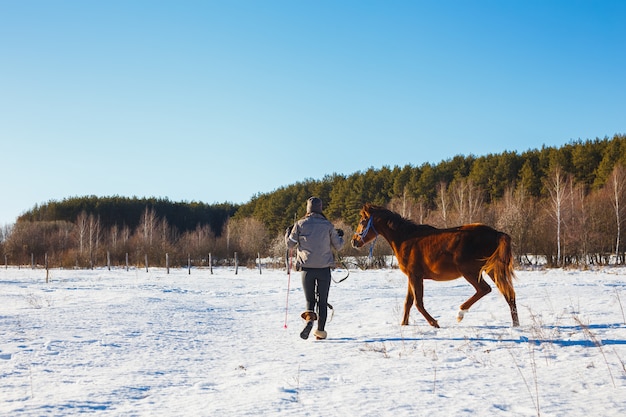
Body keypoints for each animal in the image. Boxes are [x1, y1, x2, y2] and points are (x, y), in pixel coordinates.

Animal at [352, 203, 516, 326]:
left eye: (362, 221)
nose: (354, 241)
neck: (405, 239)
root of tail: (496, 233)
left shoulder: (415, 276)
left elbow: (418, 303)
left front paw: (434, 323)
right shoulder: (412, 277)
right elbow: (408, 302)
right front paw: (404, 324)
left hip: (470, 272)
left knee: (484, 289)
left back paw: (460, 313)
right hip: (491, 270)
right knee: (509, 294)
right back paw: (516, 325)